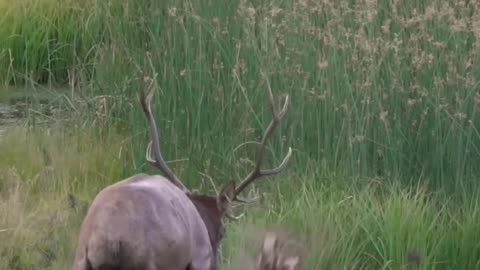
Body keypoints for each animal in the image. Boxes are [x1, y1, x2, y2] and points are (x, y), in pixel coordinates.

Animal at [69, 76, 290, 270]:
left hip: (80, 259)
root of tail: (111, 239)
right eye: (222, 233)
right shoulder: (199, 257)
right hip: (148, 262)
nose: (216, 265)